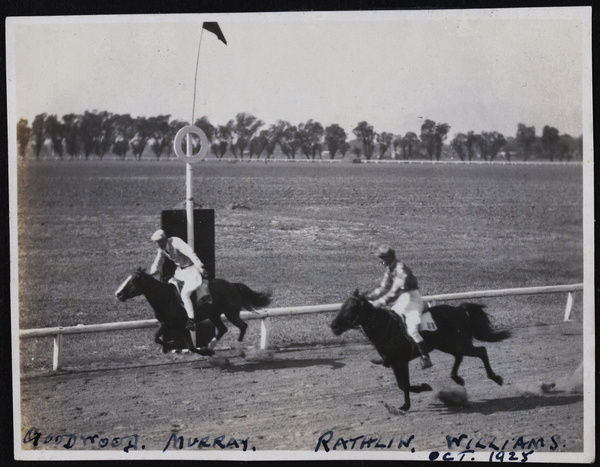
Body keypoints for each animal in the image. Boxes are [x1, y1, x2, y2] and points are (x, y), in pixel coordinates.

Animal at [115, 268, 274, 356]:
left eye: (134, 280)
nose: (119, 294)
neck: (165, 297)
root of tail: (233, 285)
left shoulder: (183, 326)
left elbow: (191, 347)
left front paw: (204, 352)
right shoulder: (166, 324)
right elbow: (156, 337)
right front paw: (172, 343)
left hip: (231, 314)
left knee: (243, 326)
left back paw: (238, 349)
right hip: (214, 315)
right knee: (223, 329)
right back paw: (211, 345)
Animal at [328, 290, 510, 412]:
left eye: (352, 307)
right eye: (343, 306)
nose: (333, 326)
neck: (389, 328)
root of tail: (459, 309)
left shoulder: (401, 361)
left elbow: (405, 384)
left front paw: (422, 389)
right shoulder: (393, 363)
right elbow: (401, 385)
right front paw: (406, 404)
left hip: (460, 344)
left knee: (482, 351)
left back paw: (495, 378)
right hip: (448, 345)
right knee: (459, 356)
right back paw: (457, 378)